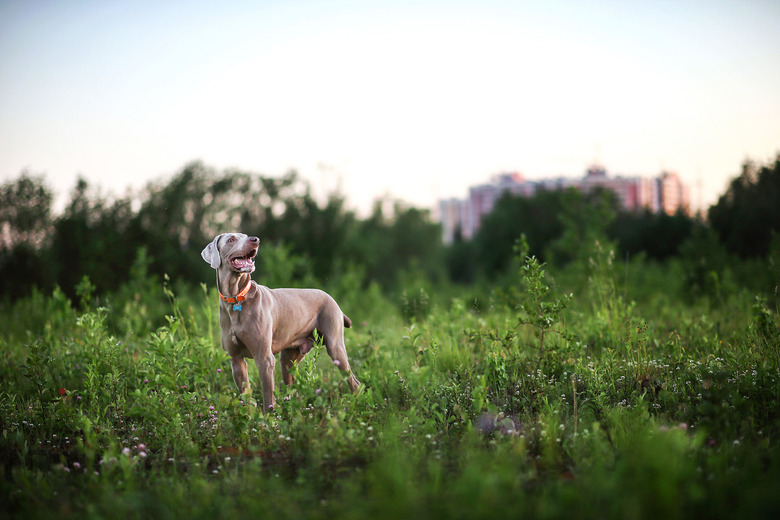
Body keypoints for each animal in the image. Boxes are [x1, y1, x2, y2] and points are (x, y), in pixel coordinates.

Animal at [201, 233, 360, 410]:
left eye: (245, 236)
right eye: (231, 239)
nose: (255, 239)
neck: (236, 298)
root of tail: (333, 300)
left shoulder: (265, 358)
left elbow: (268, 397)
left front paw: (268, 416)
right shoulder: (236, 360)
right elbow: (246, 394)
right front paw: (249, 415)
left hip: (335, 345)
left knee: (353, 381)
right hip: (289, 359)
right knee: (294, 388)